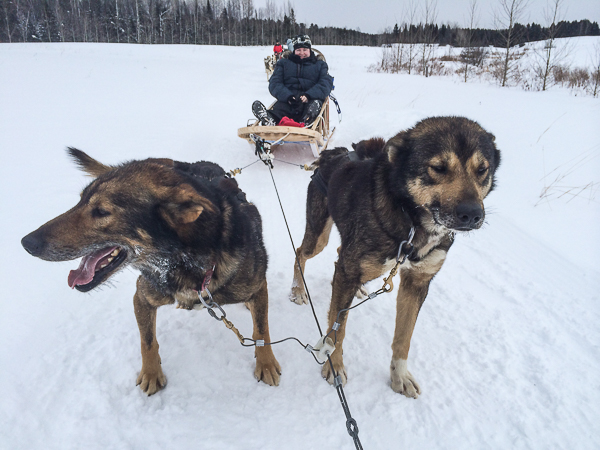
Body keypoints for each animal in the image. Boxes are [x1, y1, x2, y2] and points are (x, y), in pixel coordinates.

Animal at [20, 149, 278, 394]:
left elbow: (262, 331)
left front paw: (266, 364)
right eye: (80, 201)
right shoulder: (142, 297)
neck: (187, 265)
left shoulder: (258, 288)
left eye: (101, 211)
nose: (27, 242)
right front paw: (151, 373)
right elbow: (147, 341)